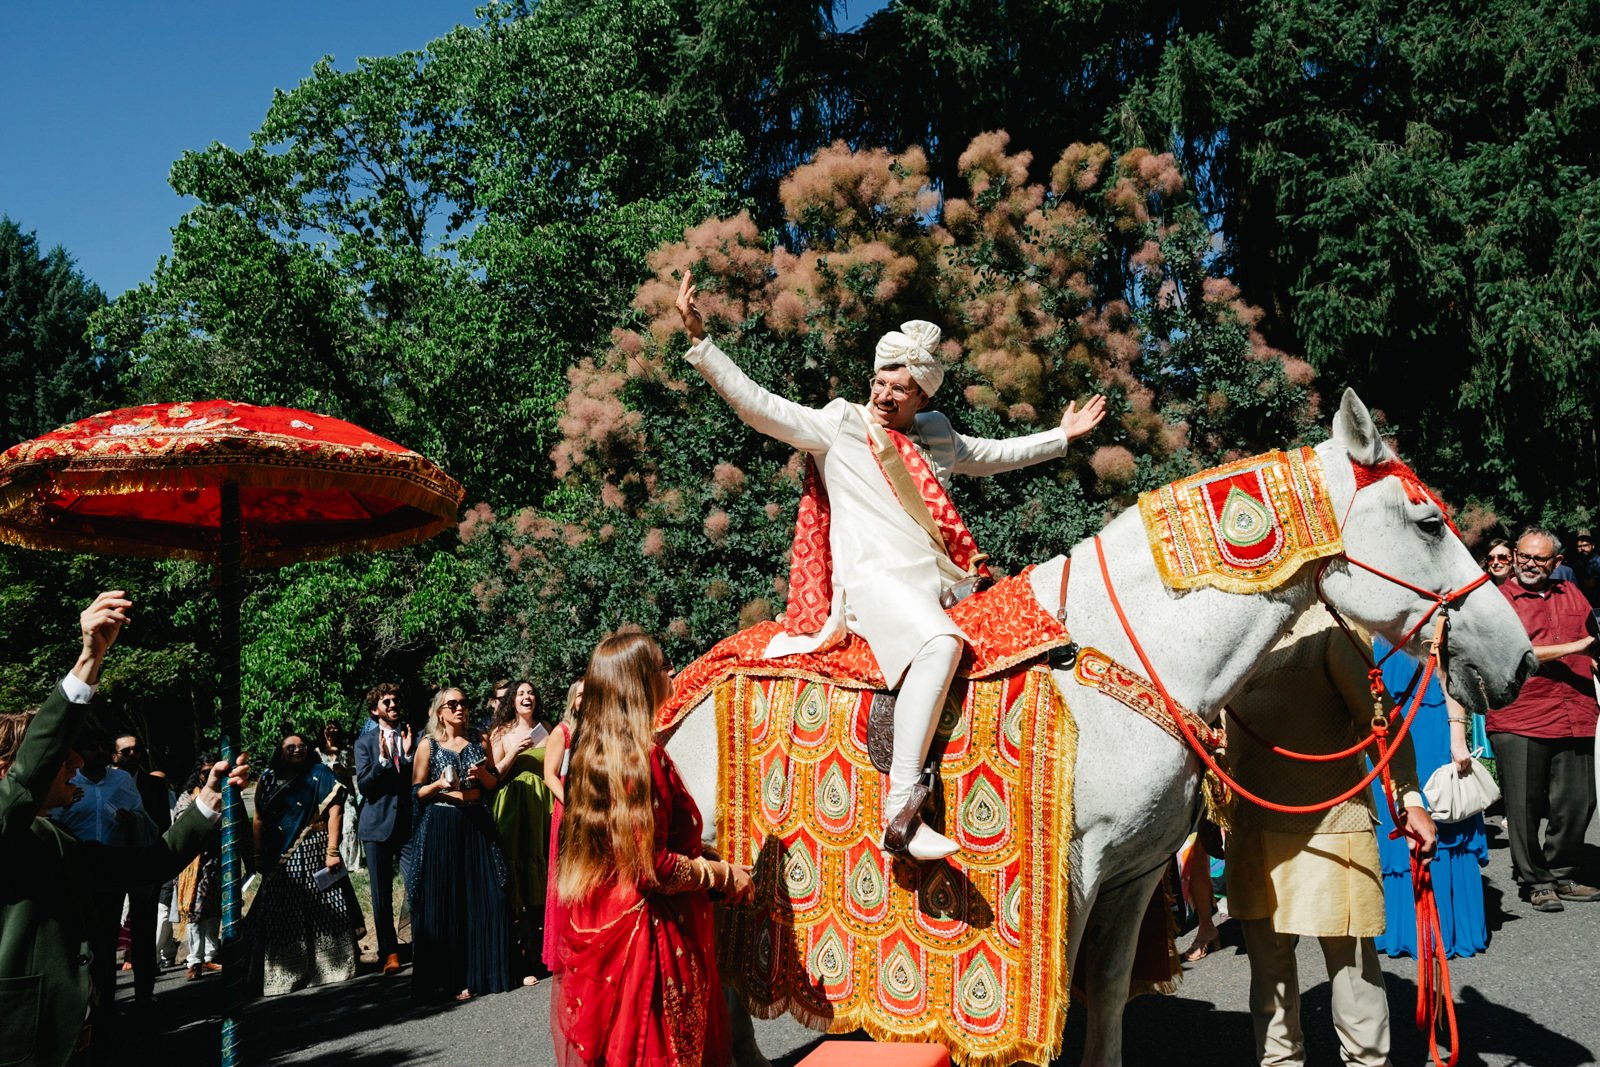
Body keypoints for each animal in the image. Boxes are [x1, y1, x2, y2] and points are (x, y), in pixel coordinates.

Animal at [665, 395, 1536, 1067]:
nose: (1520, 658)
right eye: (1428, 522)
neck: (1125, 657)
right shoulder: (1070, 883)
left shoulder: (1134, 874)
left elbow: (1109, 992)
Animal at [672, 273, 1100, 857]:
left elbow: (985, 452)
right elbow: (770, 409)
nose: (878, 400)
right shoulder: (823, 424)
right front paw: (694, 326)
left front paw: (1069, 430)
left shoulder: (946, 433)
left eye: (895, 388)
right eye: (879, 382)